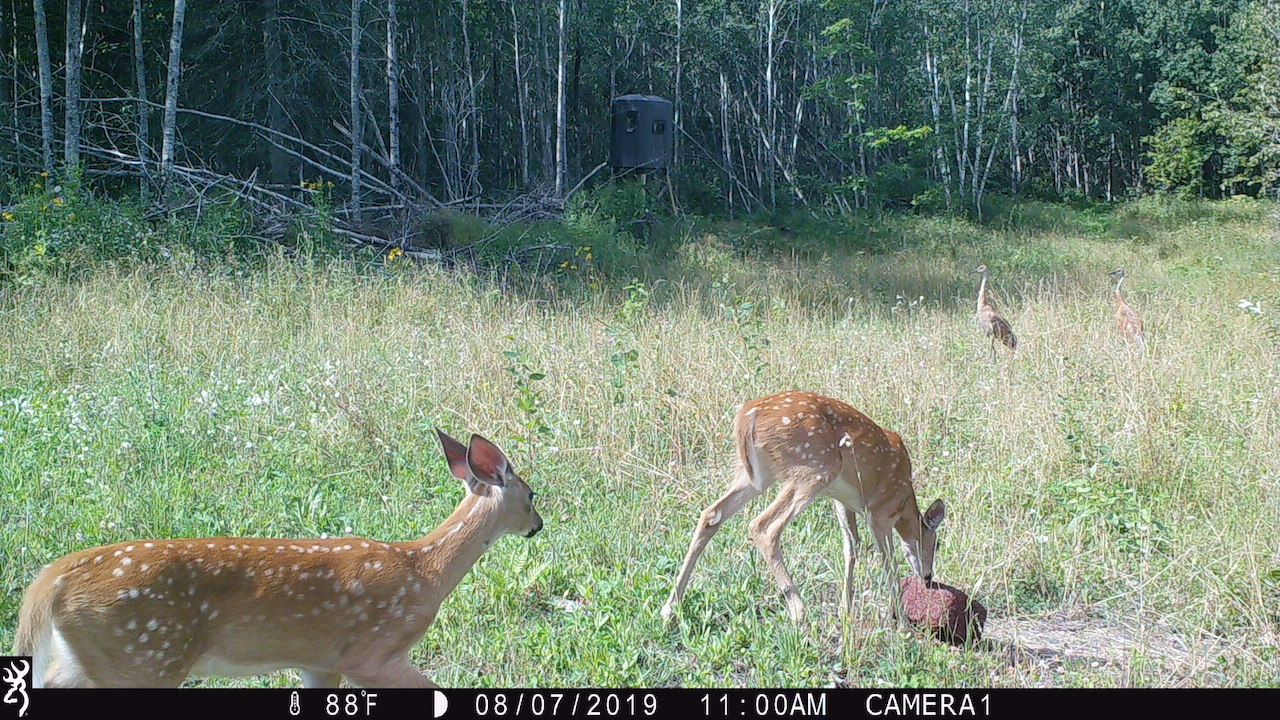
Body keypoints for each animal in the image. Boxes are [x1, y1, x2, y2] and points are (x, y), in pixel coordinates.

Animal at [11, 429, 542, 688]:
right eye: (533, 495)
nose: (538, 525)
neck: (424, 570)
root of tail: (52, 577)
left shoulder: (320, 661)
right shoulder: (371, 652)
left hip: (93, 657)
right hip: (144, 657)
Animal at [661, 391, 946, 626]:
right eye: (937, 544)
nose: (928, 578)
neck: (904, 502)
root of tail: (746, 415)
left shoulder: (843, 503)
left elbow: (851, 547)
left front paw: (846, 609)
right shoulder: (878, 513)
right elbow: (888, 561)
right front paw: (903, 625)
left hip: (757, 476)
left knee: (711, 514)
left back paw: (670, 607)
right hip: (813, 468)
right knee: (763, 526)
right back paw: (798, 611)